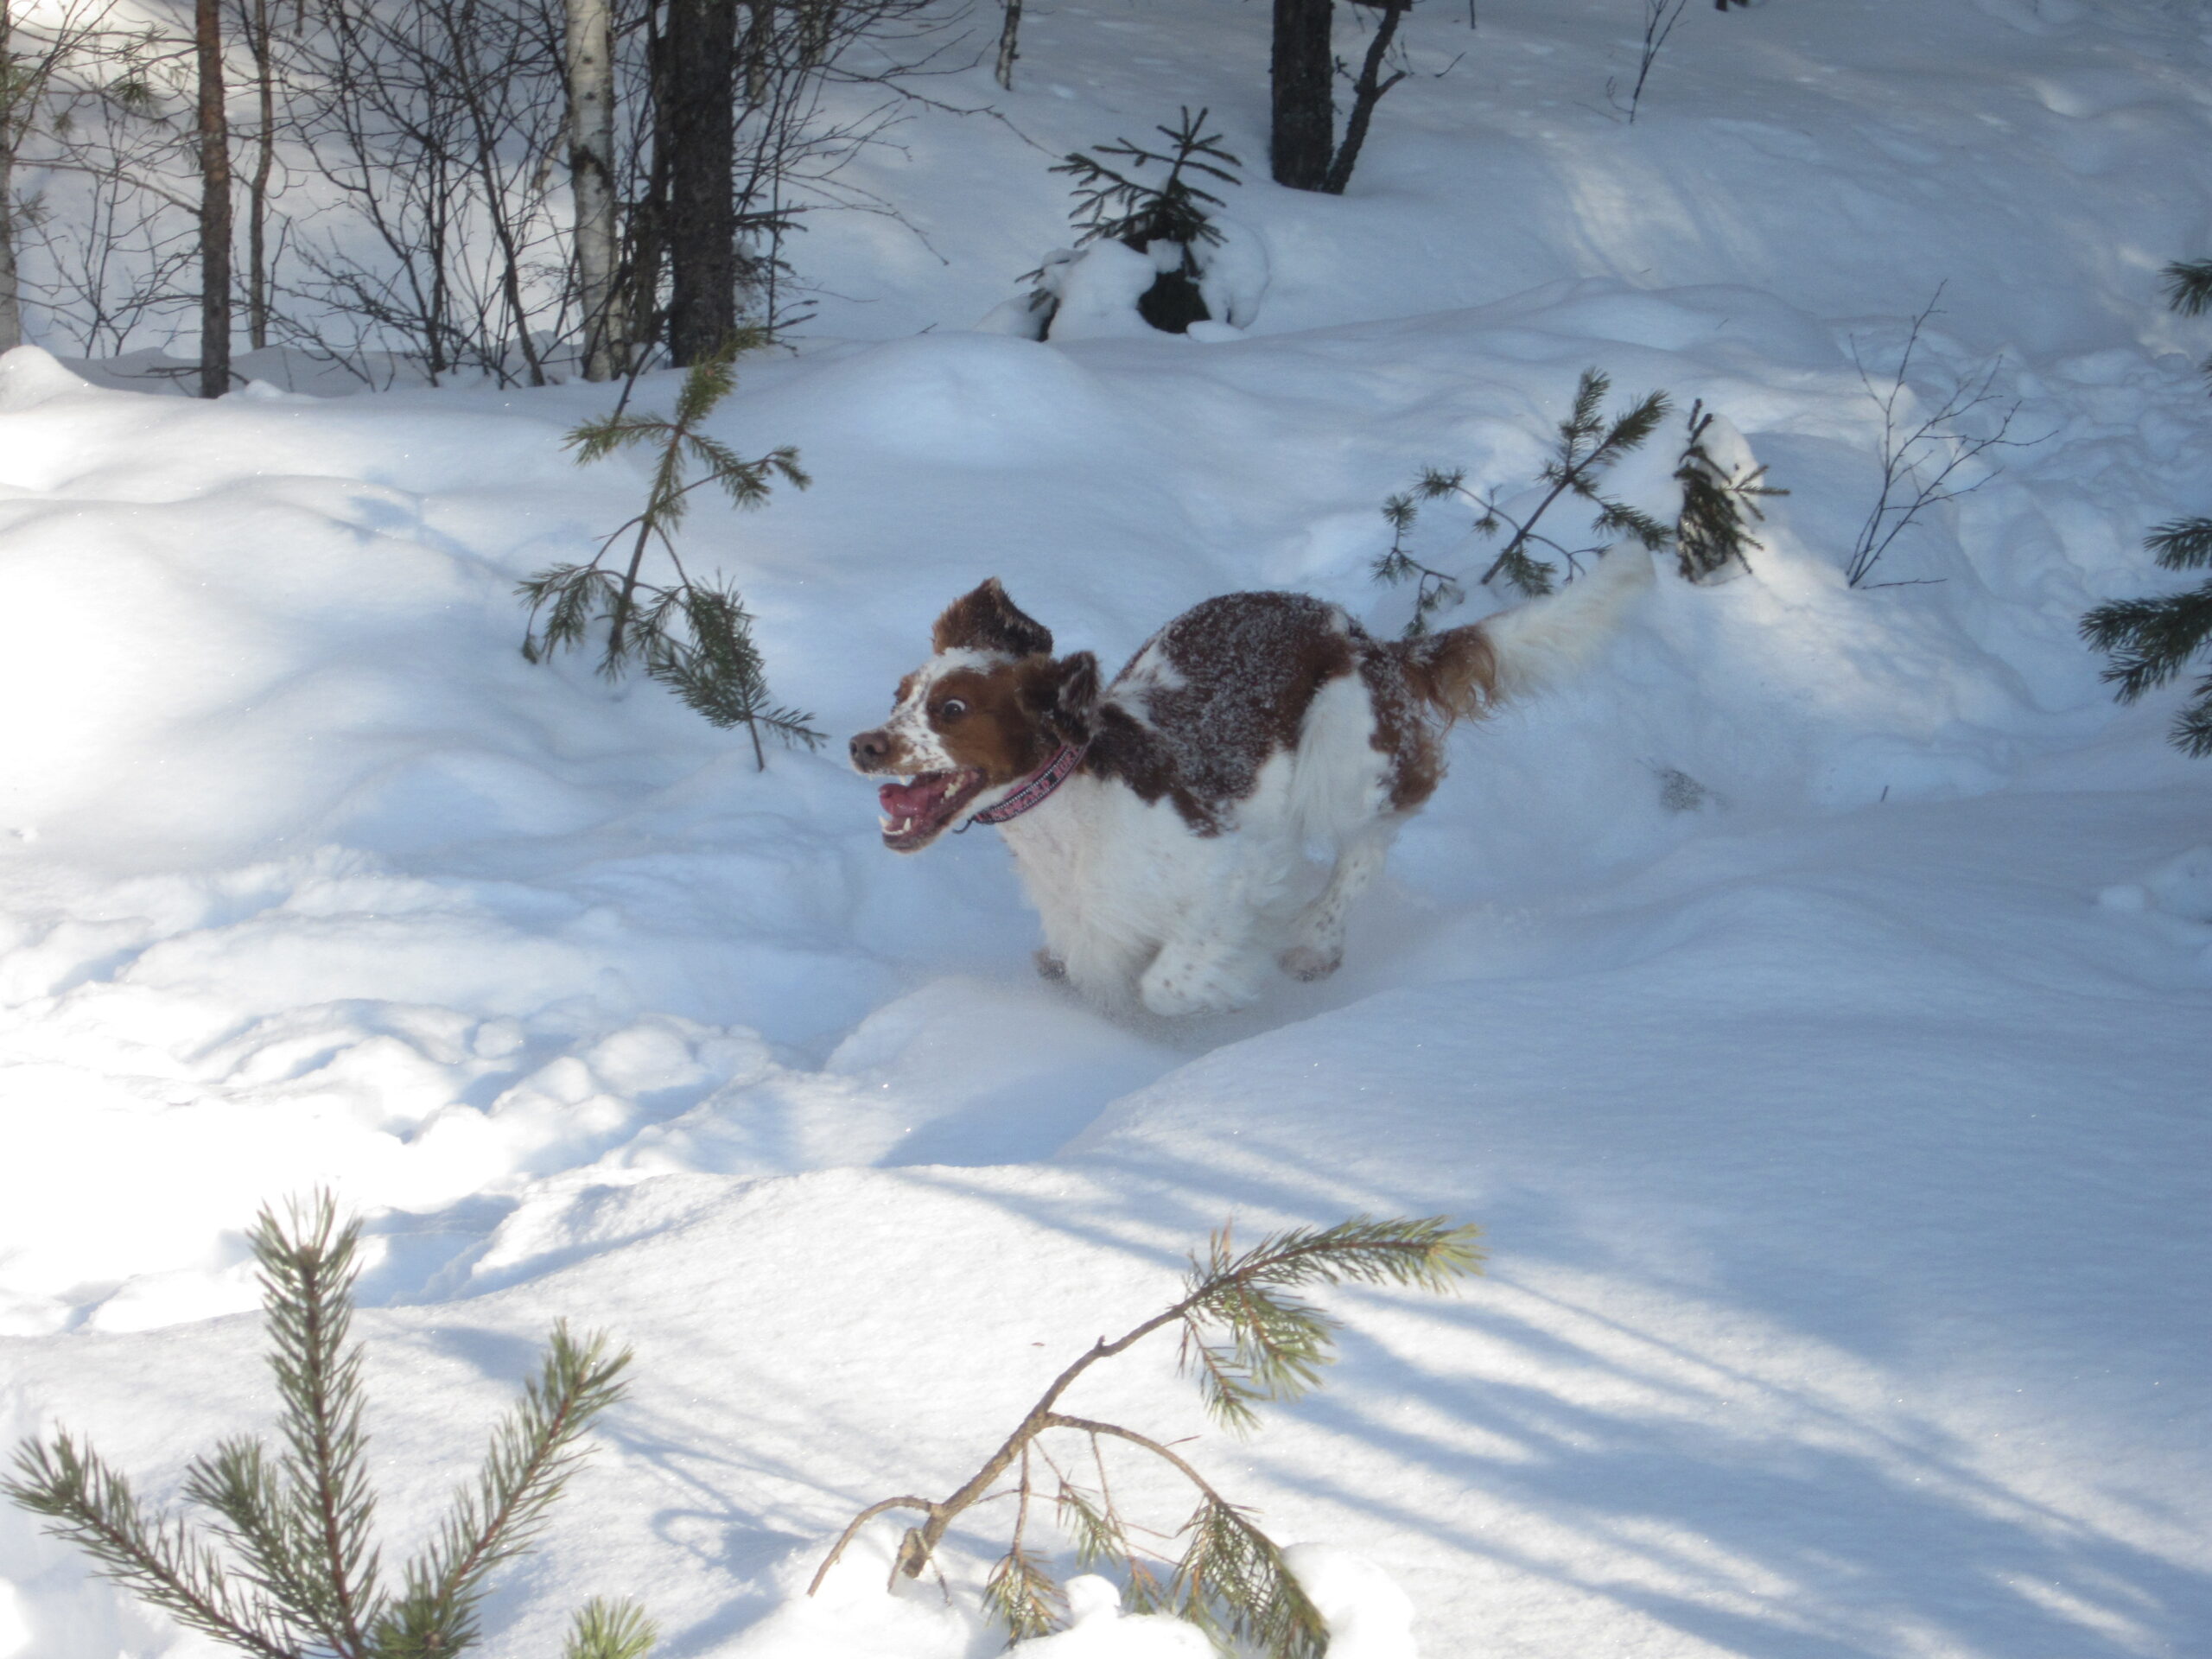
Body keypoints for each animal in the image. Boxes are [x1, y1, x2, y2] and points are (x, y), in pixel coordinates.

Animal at [854, 553, 1654, 1013]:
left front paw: (1234, 976)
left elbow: (1168, 983)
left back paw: (1315, 944)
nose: (864, 746)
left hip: (1346, 752)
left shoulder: (1231, 866)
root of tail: (1367, 638)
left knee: (1377, 832)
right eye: (898, 694)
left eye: (953, 710)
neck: (1072, 819)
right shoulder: (1091, 928)